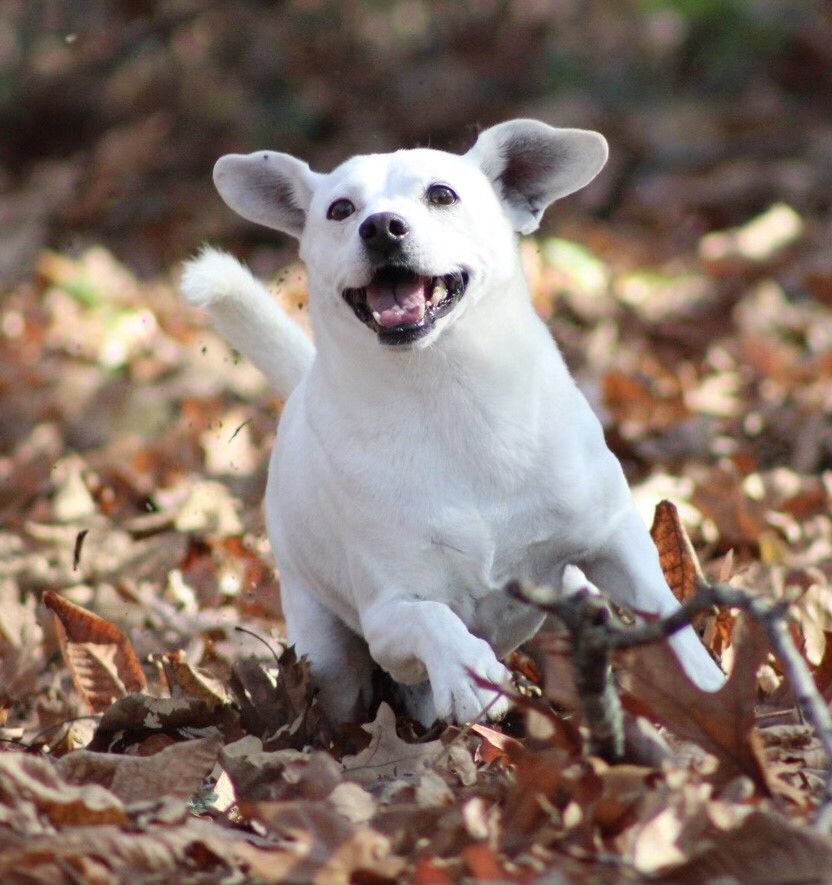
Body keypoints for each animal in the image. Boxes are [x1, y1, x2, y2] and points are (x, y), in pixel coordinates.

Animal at [180, 117, 720, 724]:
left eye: (441, 194)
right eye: (340, 209)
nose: (381, 227)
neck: (447, 395)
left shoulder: (613, 540)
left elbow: (670, 621)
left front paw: (708, 687)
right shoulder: (388, 611)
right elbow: (430, 618)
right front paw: (466, 673)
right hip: (326, 651)